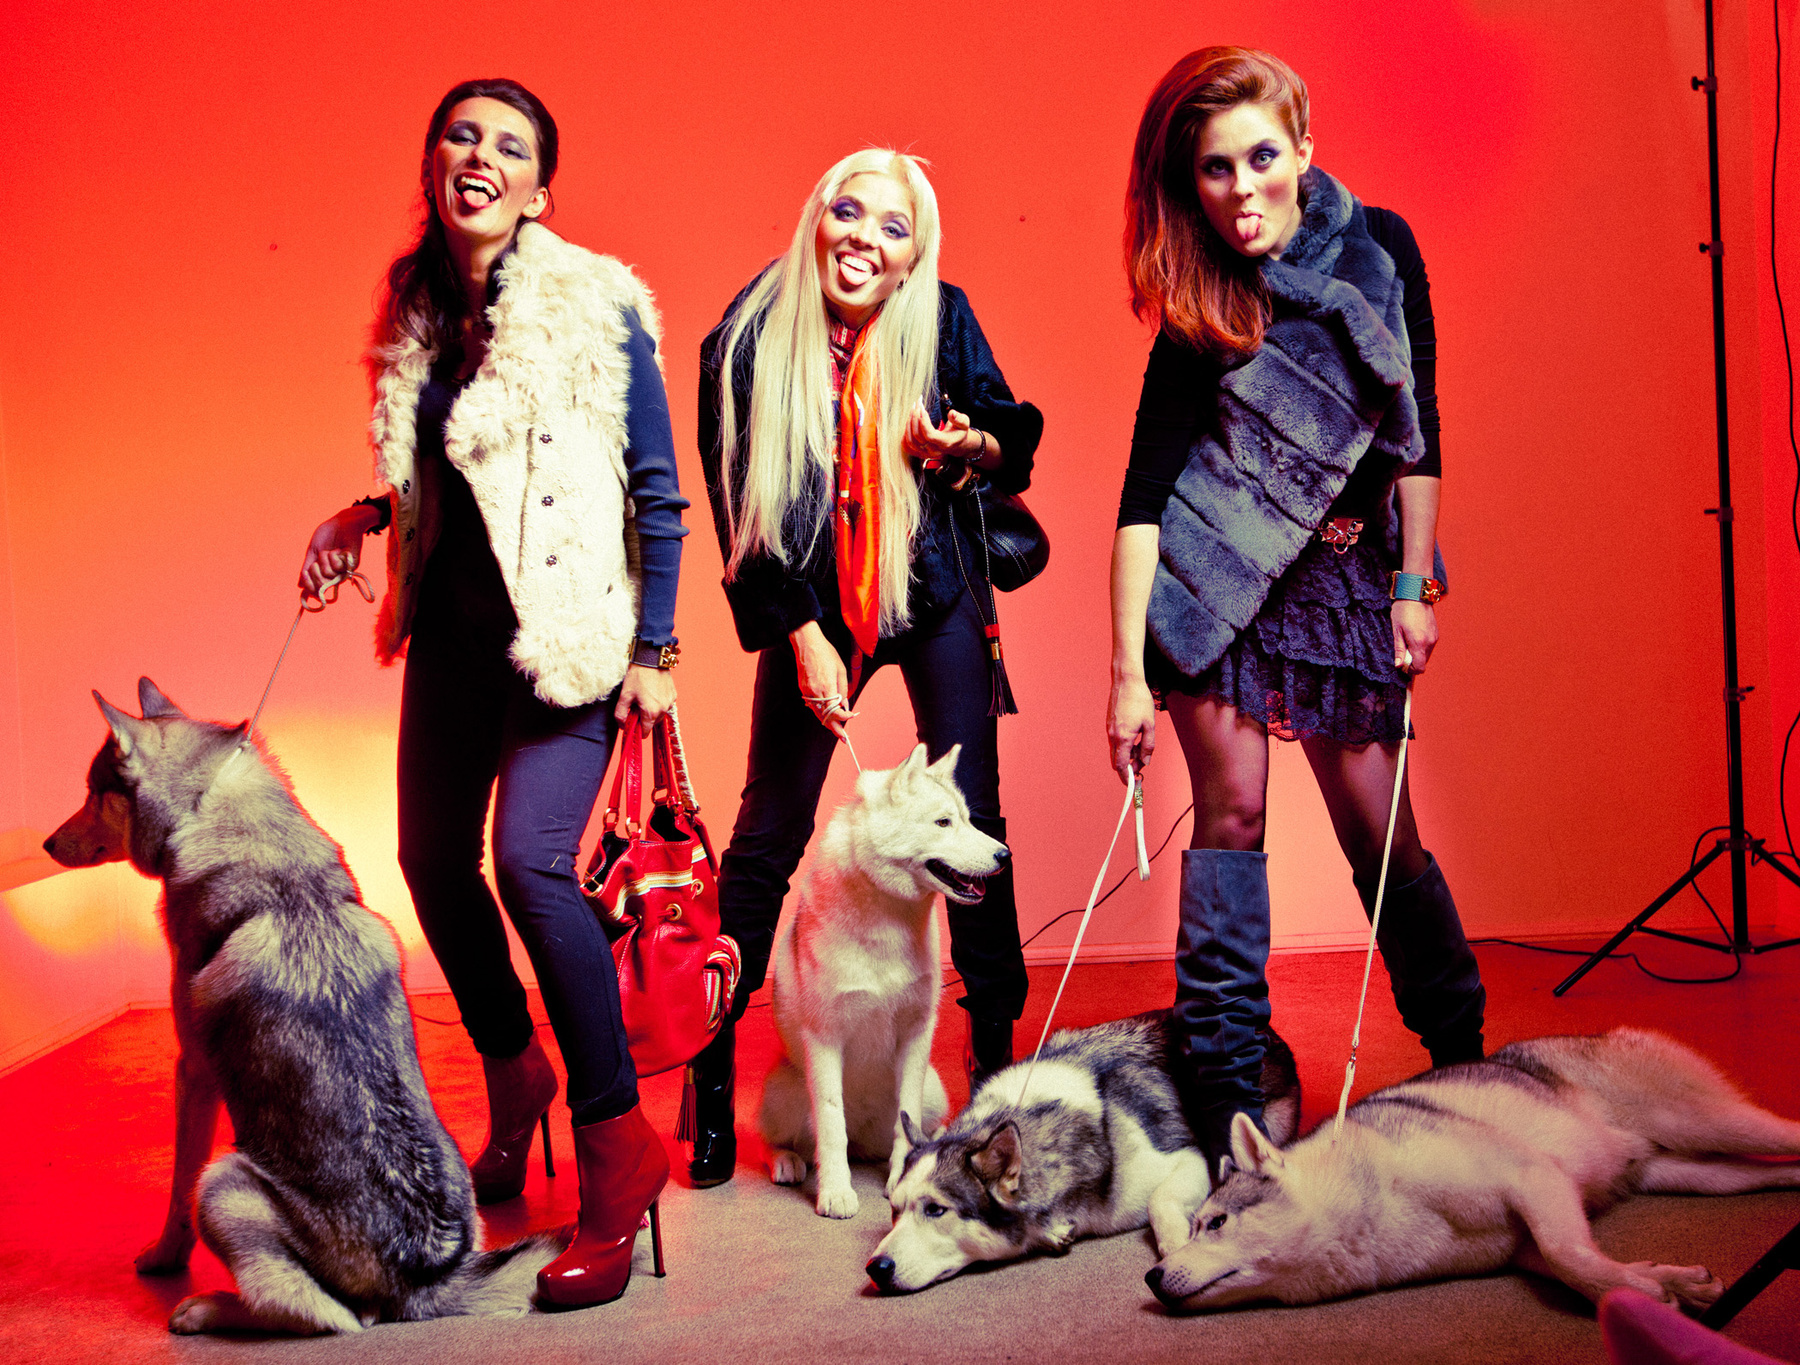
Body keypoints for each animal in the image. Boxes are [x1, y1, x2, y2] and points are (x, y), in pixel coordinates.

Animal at [44, 679, 562, 1334]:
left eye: (93, 793)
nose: (45, 844)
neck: (217, 814)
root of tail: (425, 1278)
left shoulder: (194, 1072)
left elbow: (176, 1189)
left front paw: (164, 1260)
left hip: (225, 1181)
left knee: (322, 1314)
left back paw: (205, 1308)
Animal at [759, 743, 1009, 1220]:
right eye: (943, 822)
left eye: (968, 819)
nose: (1005, 856)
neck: (886, 917)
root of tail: (864, 1137)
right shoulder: (824, 1039)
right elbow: (830, 1124)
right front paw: (835, 1191)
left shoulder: (916, 1033)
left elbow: (905, 1121)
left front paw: (907, 1175)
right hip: (780, 1093)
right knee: (785, 1140)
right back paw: (787, 1160)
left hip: (934, 1089)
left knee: (925, 1125)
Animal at [867, 1010, 1300, 1292]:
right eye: (894, 1210)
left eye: (936, 1210)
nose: (876, 1268)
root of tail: (1269, 1032)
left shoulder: (1190, 1157)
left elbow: (1160, 1201)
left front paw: (1179, 1247)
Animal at [1147, 1027, 1800, 1312]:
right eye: (1192, 1227)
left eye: (1215, 1223)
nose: (1151, 1277)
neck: (1367, 1203)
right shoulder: (1528, 1243)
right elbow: (1579, 1263)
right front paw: (1667, 1281)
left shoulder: (1534, 1176)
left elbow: (1572, 1257)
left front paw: (1644, 1290)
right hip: (1695, 1172)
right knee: (1774, 1170)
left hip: (1707, 1121)